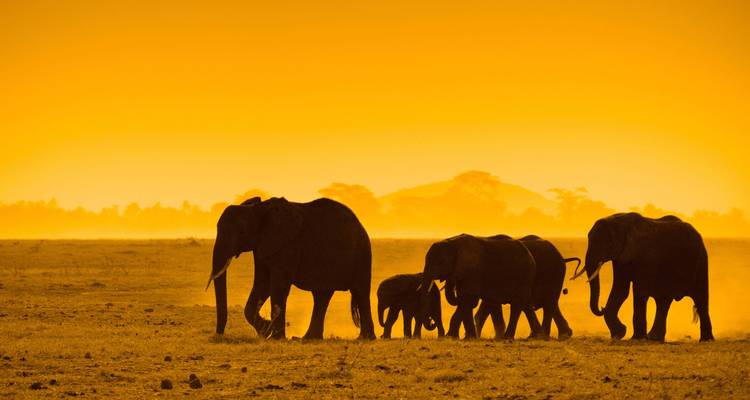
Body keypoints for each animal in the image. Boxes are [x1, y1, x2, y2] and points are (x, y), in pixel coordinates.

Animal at [205, 196, 376, 340]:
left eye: (241, 231)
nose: (219, 335)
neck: (258, 209)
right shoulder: (262, 245)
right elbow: (263, 284)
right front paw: (266, 331)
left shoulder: (287, 245)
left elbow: (278, 286)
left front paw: (274, 337)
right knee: (321, 295)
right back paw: (307, 339)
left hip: (362, 254)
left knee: (359, 291)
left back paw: (364, 338)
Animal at [571, 212, 713, 342]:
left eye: (608, 242)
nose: (601, 308)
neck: (620, 221)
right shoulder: (621, 258)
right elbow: (620, 290)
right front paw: (619, 334)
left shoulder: (646, 258)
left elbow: (640, 291)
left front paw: (636, 338)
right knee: (663, 301)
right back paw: (654, 338)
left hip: (701, 261)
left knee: (701, 298)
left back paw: (706, 340)